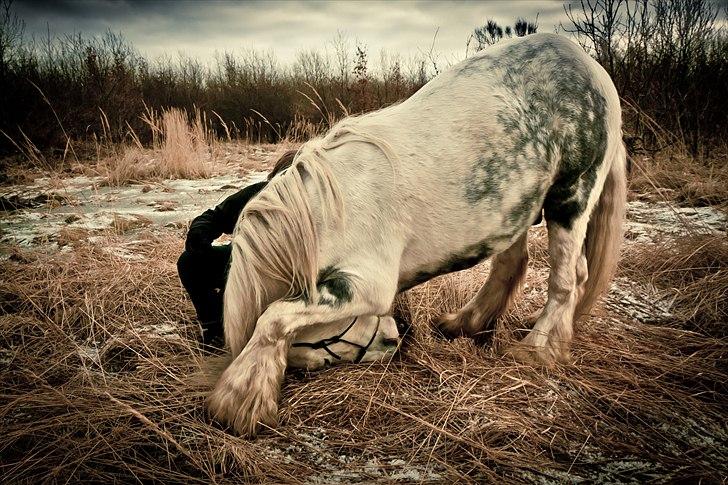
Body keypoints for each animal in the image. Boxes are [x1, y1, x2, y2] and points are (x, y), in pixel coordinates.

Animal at [209, 34, 624, 434]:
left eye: (318, 341)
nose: (393, 343)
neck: (322, 214)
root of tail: (593, 69)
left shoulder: (364, 286)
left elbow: (274, 316)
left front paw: (240, 400)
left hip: (571, 196)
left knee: (567, 278)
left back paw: (537, 350)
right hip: (515, 207)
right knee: (513, 264)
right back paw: (466, 323)